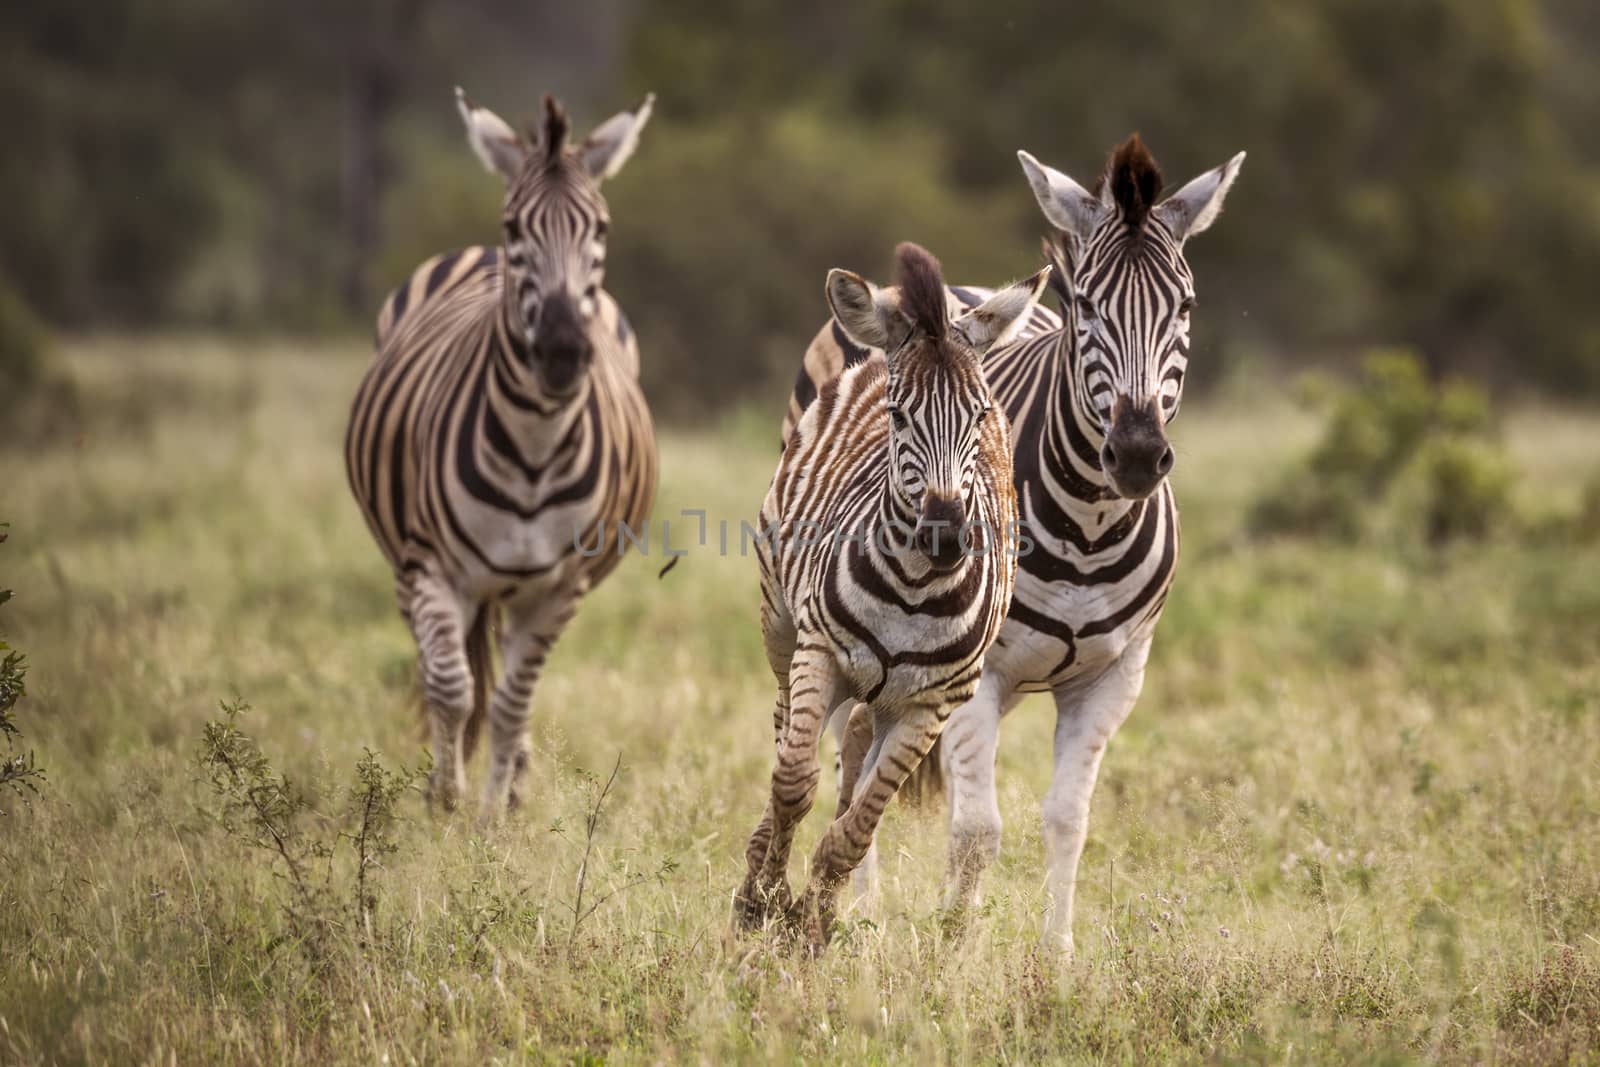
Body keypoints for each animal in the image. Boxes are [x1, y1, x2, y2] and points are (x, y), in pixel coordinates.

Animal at [736, 244, 1049, 953]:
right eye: (899, 416)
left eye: (981, 416)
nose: (946, 536)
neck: (912, 588)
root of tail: (873, 355)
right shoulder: (821, 652)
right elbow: (793, 781)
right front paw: (768, 900)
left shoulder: (933, 704)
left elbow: (857, 827)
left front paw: (812, 921)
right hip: (781, 631)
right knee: (785, 740)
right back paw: (752, 881)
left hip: (885, 698)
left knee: (854, 749)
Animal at [780, 135, 1241, 959]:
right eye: (1085, 304)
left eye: (1185, 306)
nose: (1135, 453)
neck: (1090, 528)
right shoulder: (978, 673)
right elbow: (976, 829)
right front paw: (954, 947)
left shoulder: (1115, 678)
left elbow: (1068, 820)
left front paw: (1056, 960)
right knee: (841, 745)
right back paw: (861, 912)